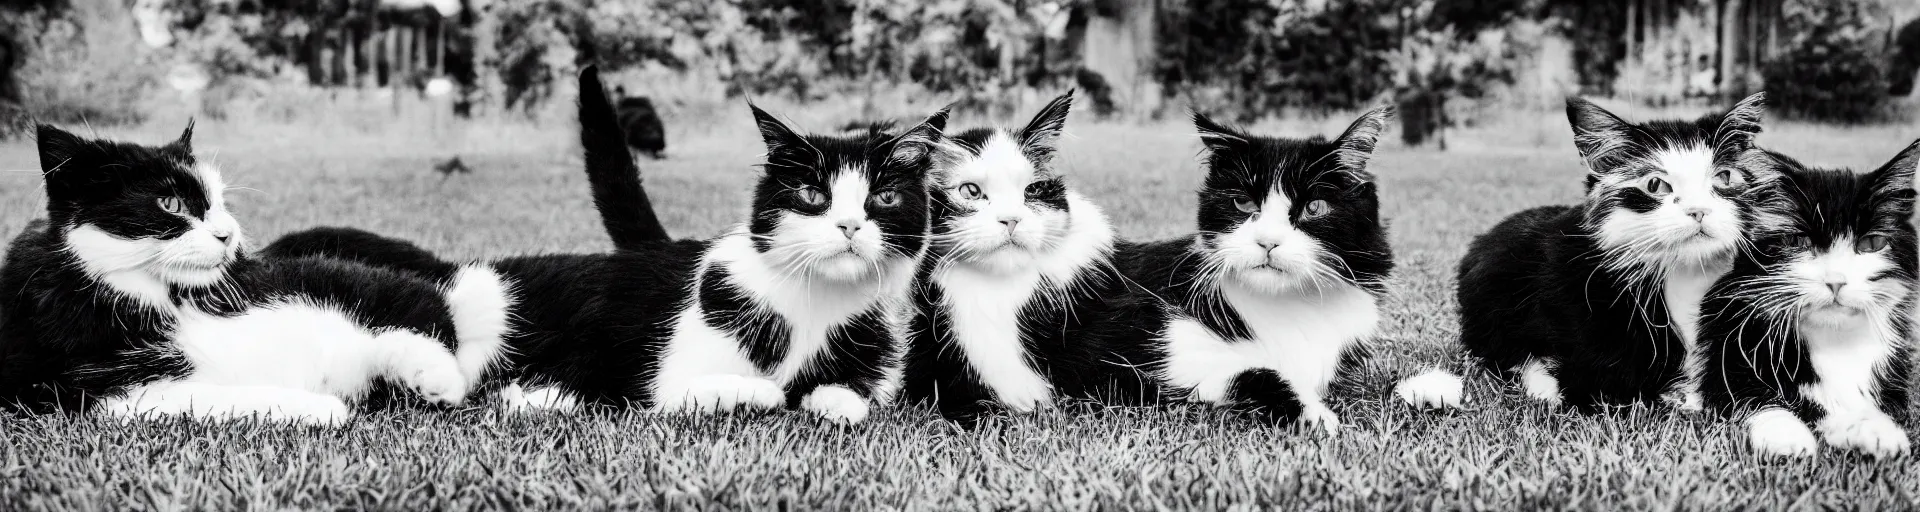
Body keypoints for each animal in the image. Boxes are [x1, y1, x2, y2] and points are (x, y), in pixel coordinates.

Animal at [0, 124, 514, 425]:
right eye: (171, 203)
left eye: (219, 203)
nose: (229, 235)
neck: (167, 298)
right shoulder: (88, 392)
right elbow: (217, 398)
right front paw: (319, 406)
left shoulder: (303, 279)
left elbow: (402, 311)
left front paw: (435, 373)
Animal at [1113, 107, 1397, 433]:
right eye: (1243, 203)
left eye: (1314, 208)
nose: (1267, 242)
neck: (1288, 305)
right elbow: (1251, 373)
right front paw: (1316, 416)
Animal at [1697, 142, 1920, 460]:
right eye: (1799, 242)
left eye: (1872, 244)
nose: (1836, 280)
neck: (1835, 340)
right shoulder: (1725, 355)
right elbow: (1751, 395)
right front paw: (1784, 434)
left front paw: (1871, 428)